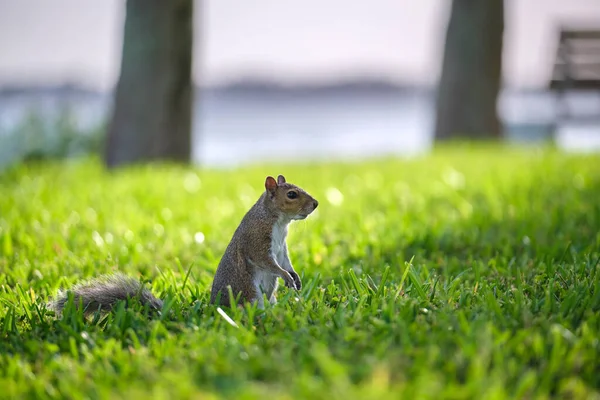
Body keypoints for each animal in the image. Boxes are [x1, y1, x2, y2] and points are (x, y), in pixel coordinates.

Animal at [48, 175, 318, 316]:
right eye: (291, 194)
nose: (315, 204)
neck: (278, 221)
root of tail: (214, 309)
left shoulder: (281, 247)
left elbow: (284, 261)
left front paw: (294, 276)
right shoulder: (257, 239)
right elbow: (267, 262)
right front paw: (286, 276)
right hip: (250, 295)